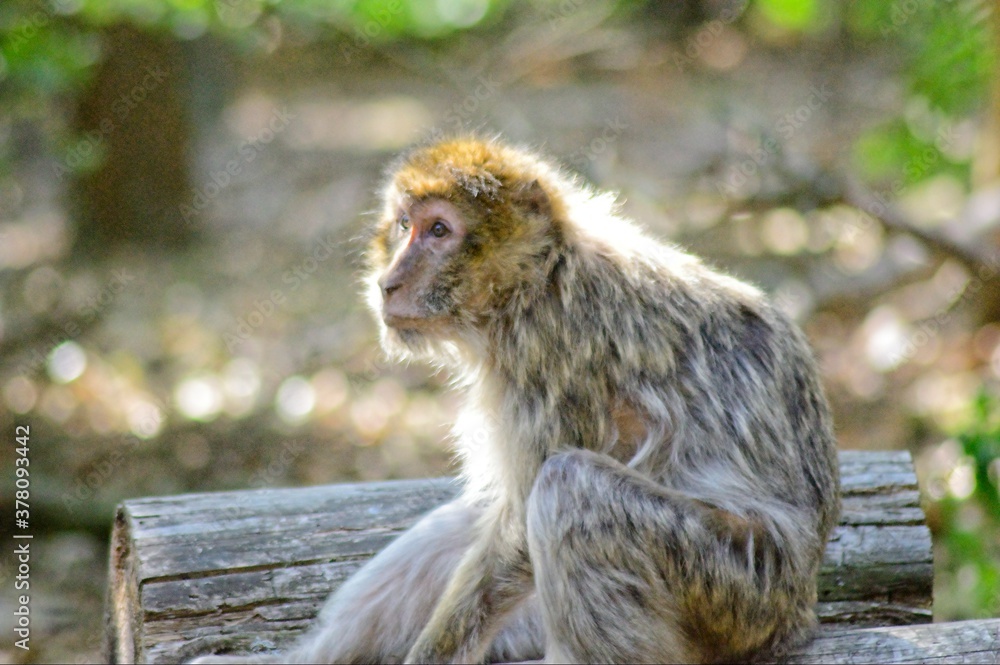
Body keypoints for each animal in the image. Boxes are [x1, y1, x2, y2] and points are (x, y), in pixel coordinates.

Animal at [192, 136, 839, 664]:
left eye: (438, 231)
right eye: (402, 225)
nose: (387, 283)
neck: (537, 278)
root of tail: (801, 606)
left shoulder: (548, 354)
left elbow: (524, 533)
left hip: (739, 590)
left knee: (570, 487)